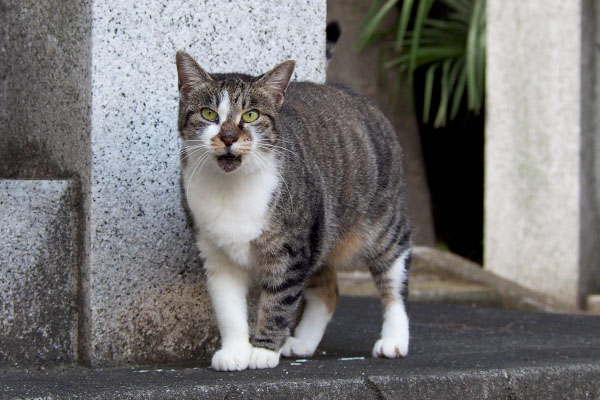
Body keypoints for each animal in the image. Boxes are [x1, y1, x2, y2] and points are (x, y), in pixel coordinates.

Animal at [175, 50, 412, 372]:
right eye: (209, 114)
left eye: (251, 115)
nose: (228, 137)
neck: (230, 187)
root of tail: (358, 97)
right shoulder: (216, 256)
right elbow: (228, 311)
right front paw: (235, 351)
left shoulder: (291, 250)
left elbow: (278, 302)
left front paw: (262, 351)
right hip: (320, 232)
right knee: (328, 290)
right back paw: (303, 343)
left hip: (379, 223)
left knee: (394, 277)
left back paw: (394, 340)